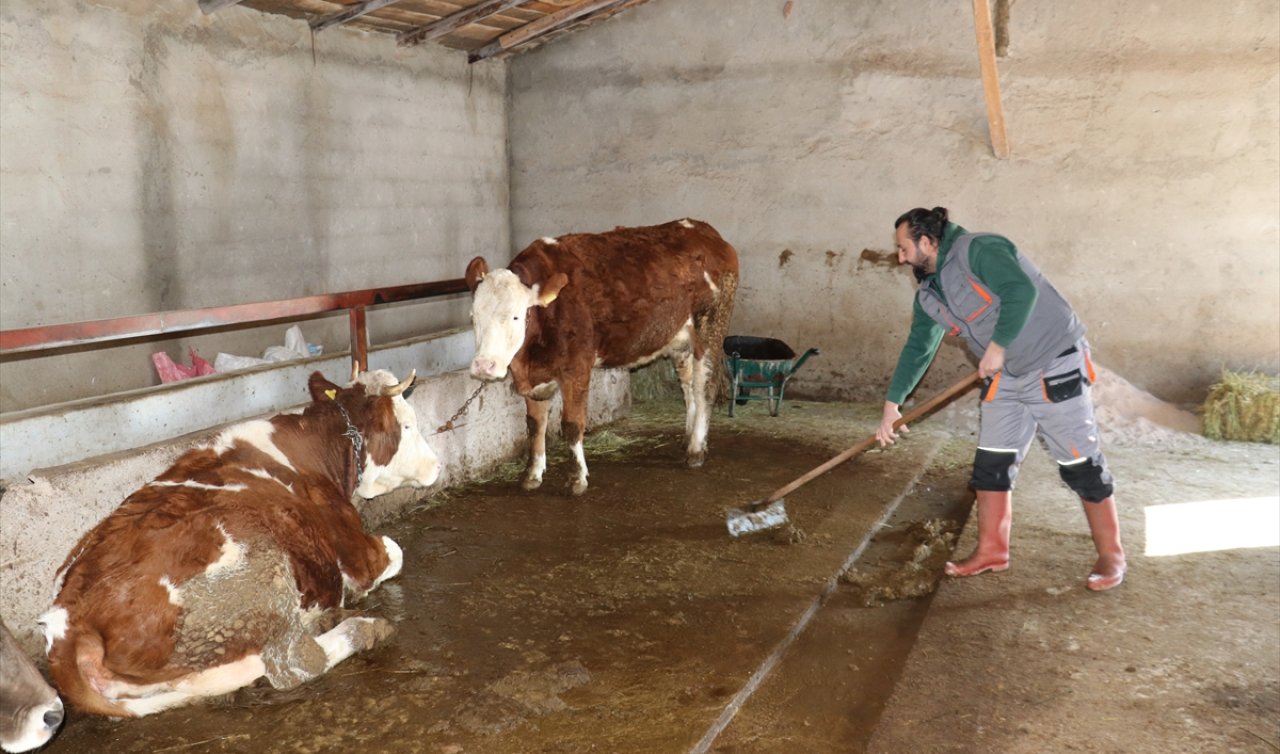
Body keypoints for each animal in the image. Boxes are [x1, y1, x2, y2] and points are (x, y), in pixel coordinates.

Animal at [41, 371, 440, 716]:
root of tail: (70, 622)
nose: (437, 465)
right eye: (407, 425)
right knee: (293, 664)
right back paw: (362, 628)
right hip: (261, 573)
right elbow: (395, 552)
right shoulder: (358, 555)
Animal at [468, 217, 742, 494]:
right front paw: (533, 474)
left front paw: (577, 478)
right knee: (688, 387)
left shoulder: (577, 366)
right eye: (473, 316)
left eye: (515, 316)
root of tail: (703, 230)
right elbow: (535, 425)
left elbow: (572, 424)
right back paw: (689, 439)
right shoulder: (535, 377)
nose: (484, 366)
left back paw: (696, 450)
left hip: (710, 327)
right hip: (680, 338)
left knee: (703, 387)